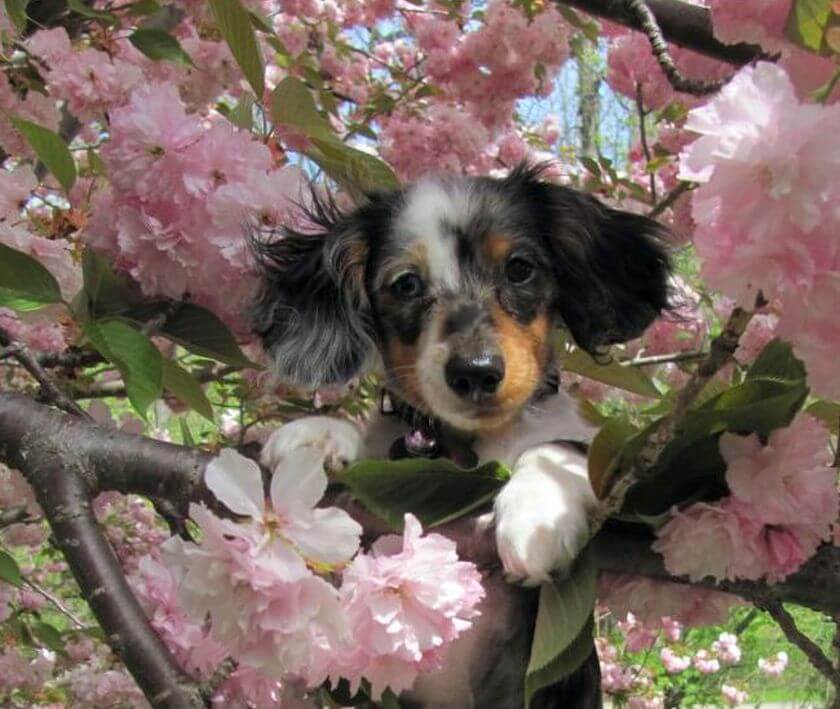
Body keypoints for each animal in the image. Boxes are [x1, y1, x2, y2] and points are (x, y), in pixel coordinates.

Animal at [249, 163, 668, 704]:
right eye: (406, 284)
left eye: (519, 268)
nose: (475, 372)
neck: (464, 445)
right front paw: (319, 437)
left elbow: (559, 446)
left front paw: (538, 513)